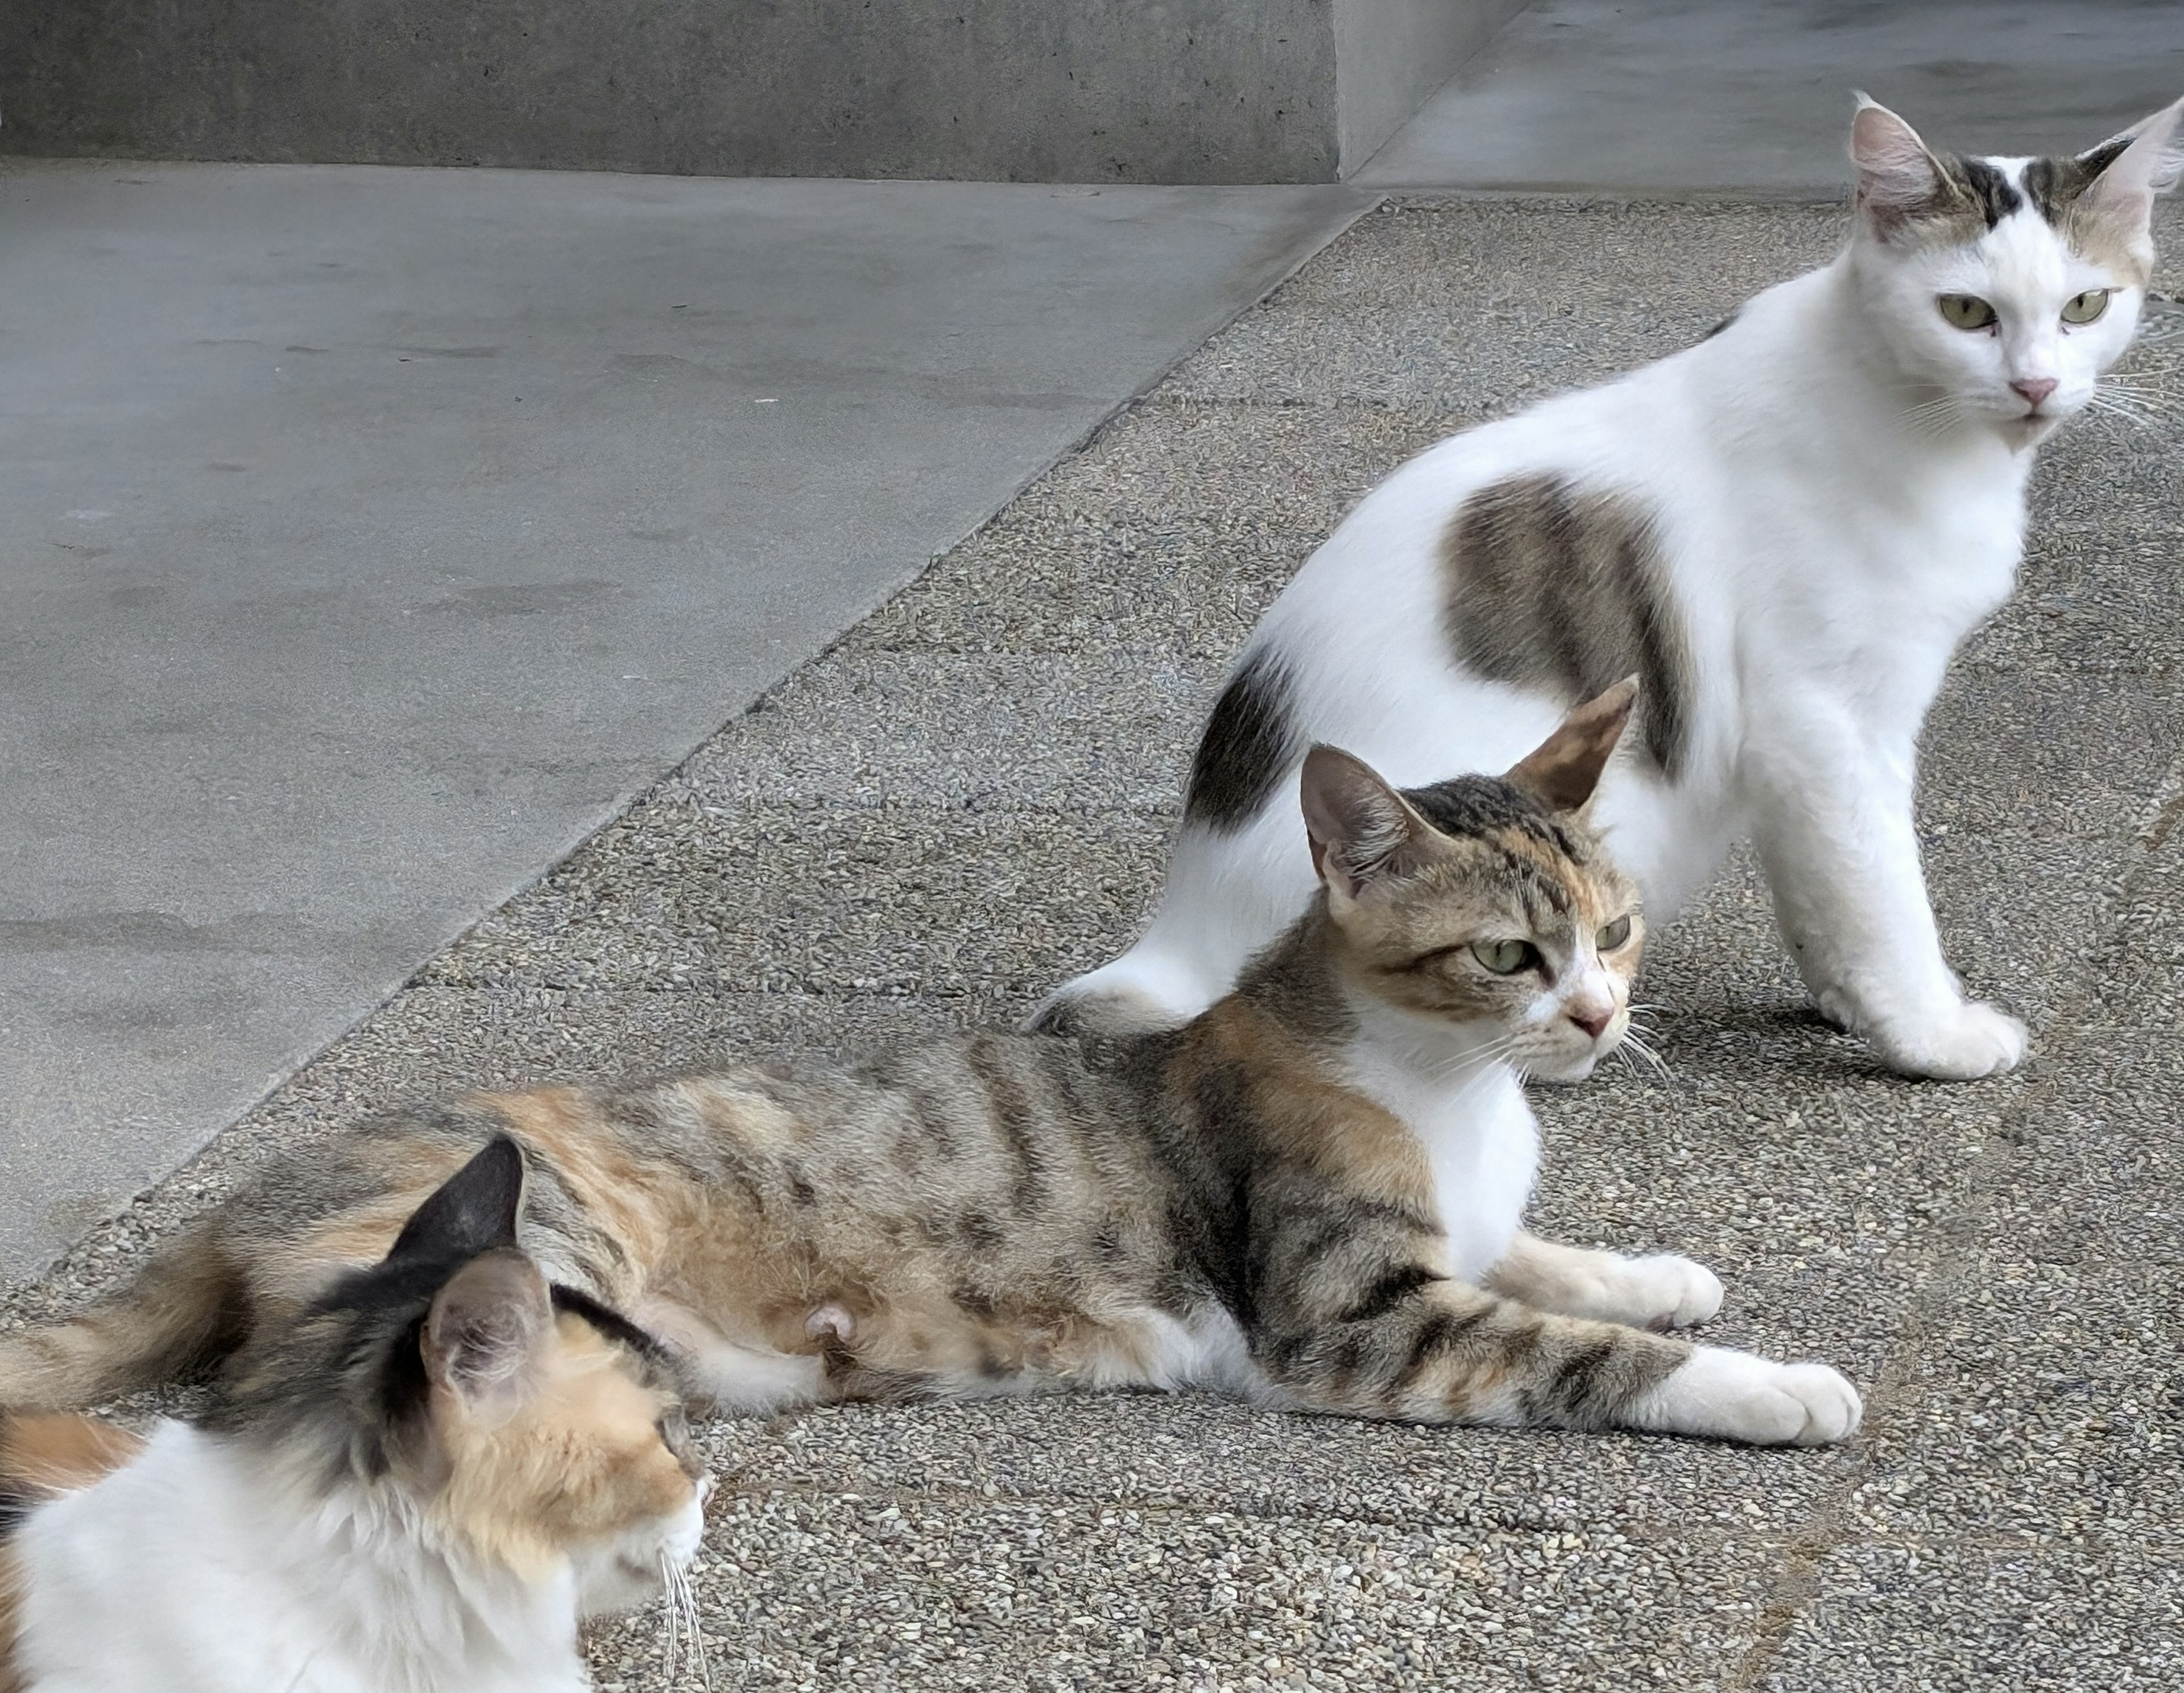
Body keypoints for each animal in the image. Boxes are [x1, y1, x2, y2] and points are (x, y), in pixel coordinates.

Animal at [0, 690, 1860, 1459]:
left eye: (1615, 929)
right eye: (1506, 958)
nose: (1601, 1019)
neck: (1451, 1095)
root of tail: (253, 1186)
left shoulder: (1457, 1240)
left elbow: (1552, 1258)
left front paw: (1654, 1264)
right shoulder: (1350, 1314)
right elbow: (1582, 1352)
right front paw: (1768, 1382)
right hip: (528, 1264)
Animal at [1026, 96, 2184, 1087]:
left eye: (2086, 305)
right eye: (1967, 312)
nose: (2037, 385)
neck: (1905, 412)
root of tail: (1176, 941)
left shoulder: (1786, 749)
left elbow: (1821, 887)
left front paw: (1849, 1003)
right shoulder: (1827, 719)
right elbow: (1881, 888)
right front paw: (1928, 1031)